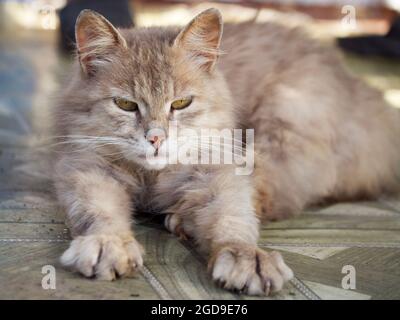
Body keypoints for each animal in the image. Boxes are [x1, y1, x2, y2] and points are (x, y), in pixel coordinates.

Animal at [52, 7, 400, 296]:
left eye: (181, 103)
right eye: (125, 104)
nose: (156, 139)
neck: (152, 178)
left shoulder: (218, 172)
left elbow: (232, 219)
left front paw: (247, 258)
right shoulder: (89, 171)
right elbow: (100, 214)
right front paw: (107, 244)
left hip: (282, 129)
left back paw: (183, 220)